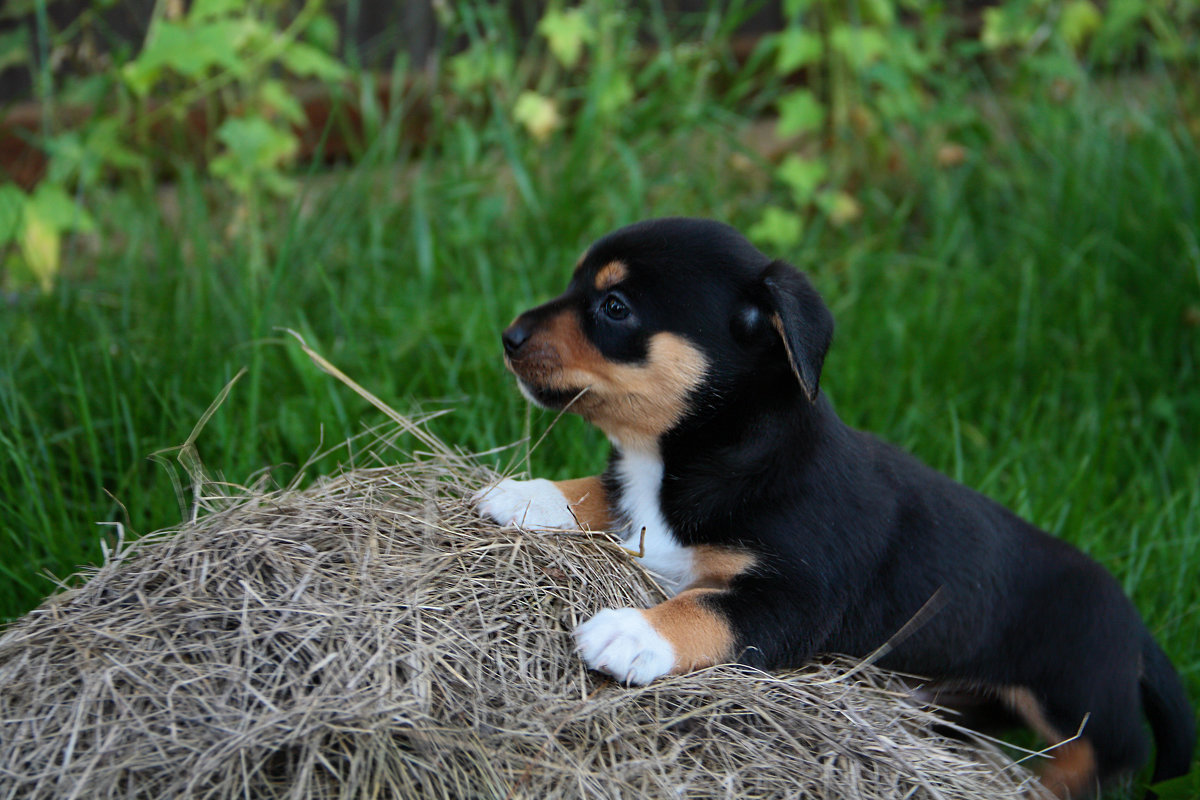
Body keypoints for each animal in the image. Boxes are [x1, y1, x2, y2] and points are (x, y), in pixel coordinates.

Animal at [472, 215, 1195, 796]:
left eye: (615, 306)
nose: (507, 336)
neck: (709, 448)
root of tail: (1136, 628)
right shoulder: (636, 494)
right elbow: (601, 490)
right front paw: (527, 494)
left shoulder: (795, 599)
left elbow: (705, 608)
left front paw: (632, 633)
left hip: (1078, 698)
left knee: (1106, 756)